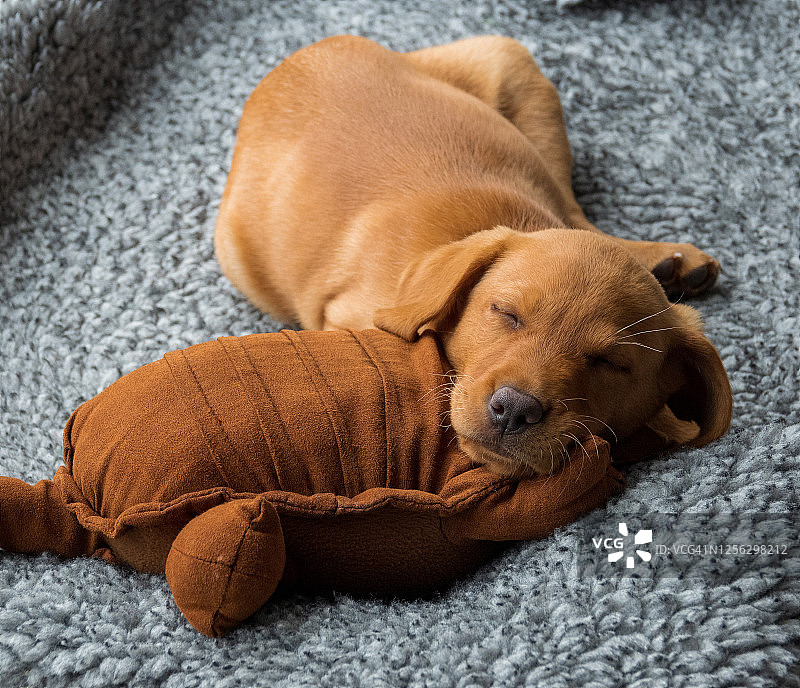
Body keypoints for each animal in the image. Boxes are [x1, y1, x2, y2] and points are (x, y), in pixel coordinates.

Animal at [212, 36, 732, 478]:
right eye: (505, 313)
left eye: (611, 364)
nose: (515, 409)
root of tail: (300, 56)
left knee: (577, 212)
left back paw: (668, 262)